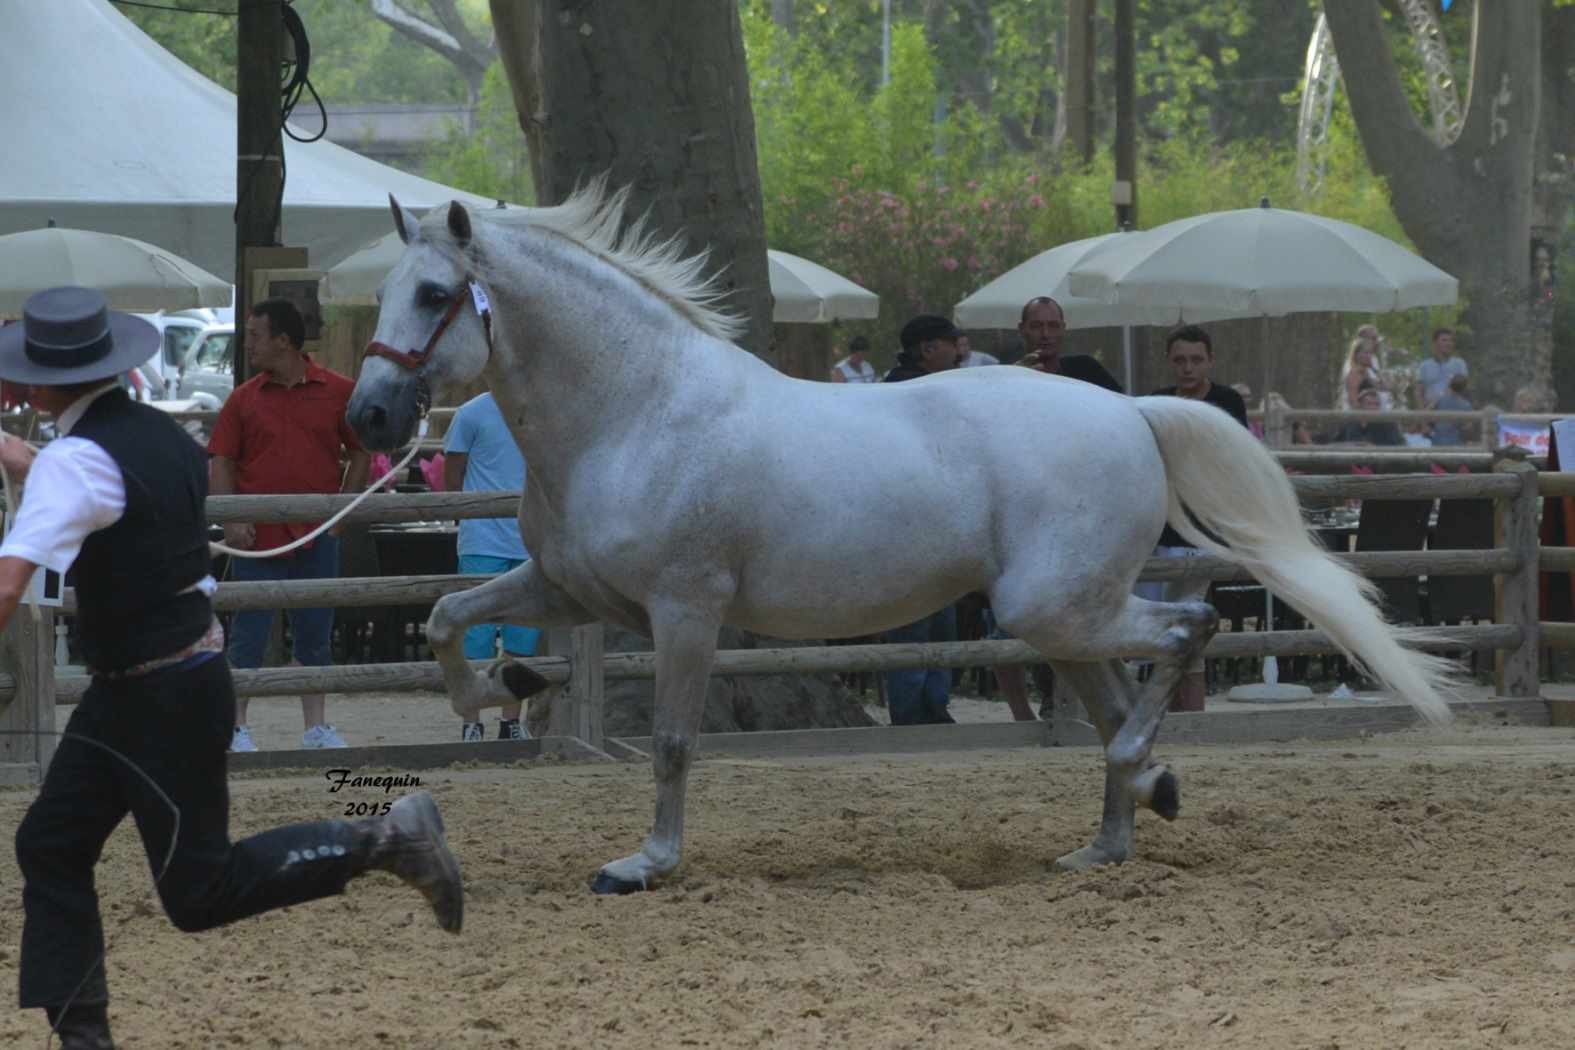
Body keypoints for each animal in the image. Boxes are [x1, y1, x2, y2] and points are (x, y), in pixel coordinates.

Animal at [348, 184, 1449, 894]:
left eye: (436, 296)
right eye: (386, 292)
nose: (368, 418)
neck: (637, 409)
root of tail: (1132, 411)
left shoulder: (683, 609)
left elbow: (669, 740)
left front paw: (644, 866)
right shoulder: (569, 590)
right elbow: (445, 618)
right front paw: (502, 691)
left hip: (1054, 604)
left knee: (1187, 634)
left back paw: (1149, 778)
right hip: (1061, 616)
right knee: (1114, 698)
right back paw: (1109, 839)